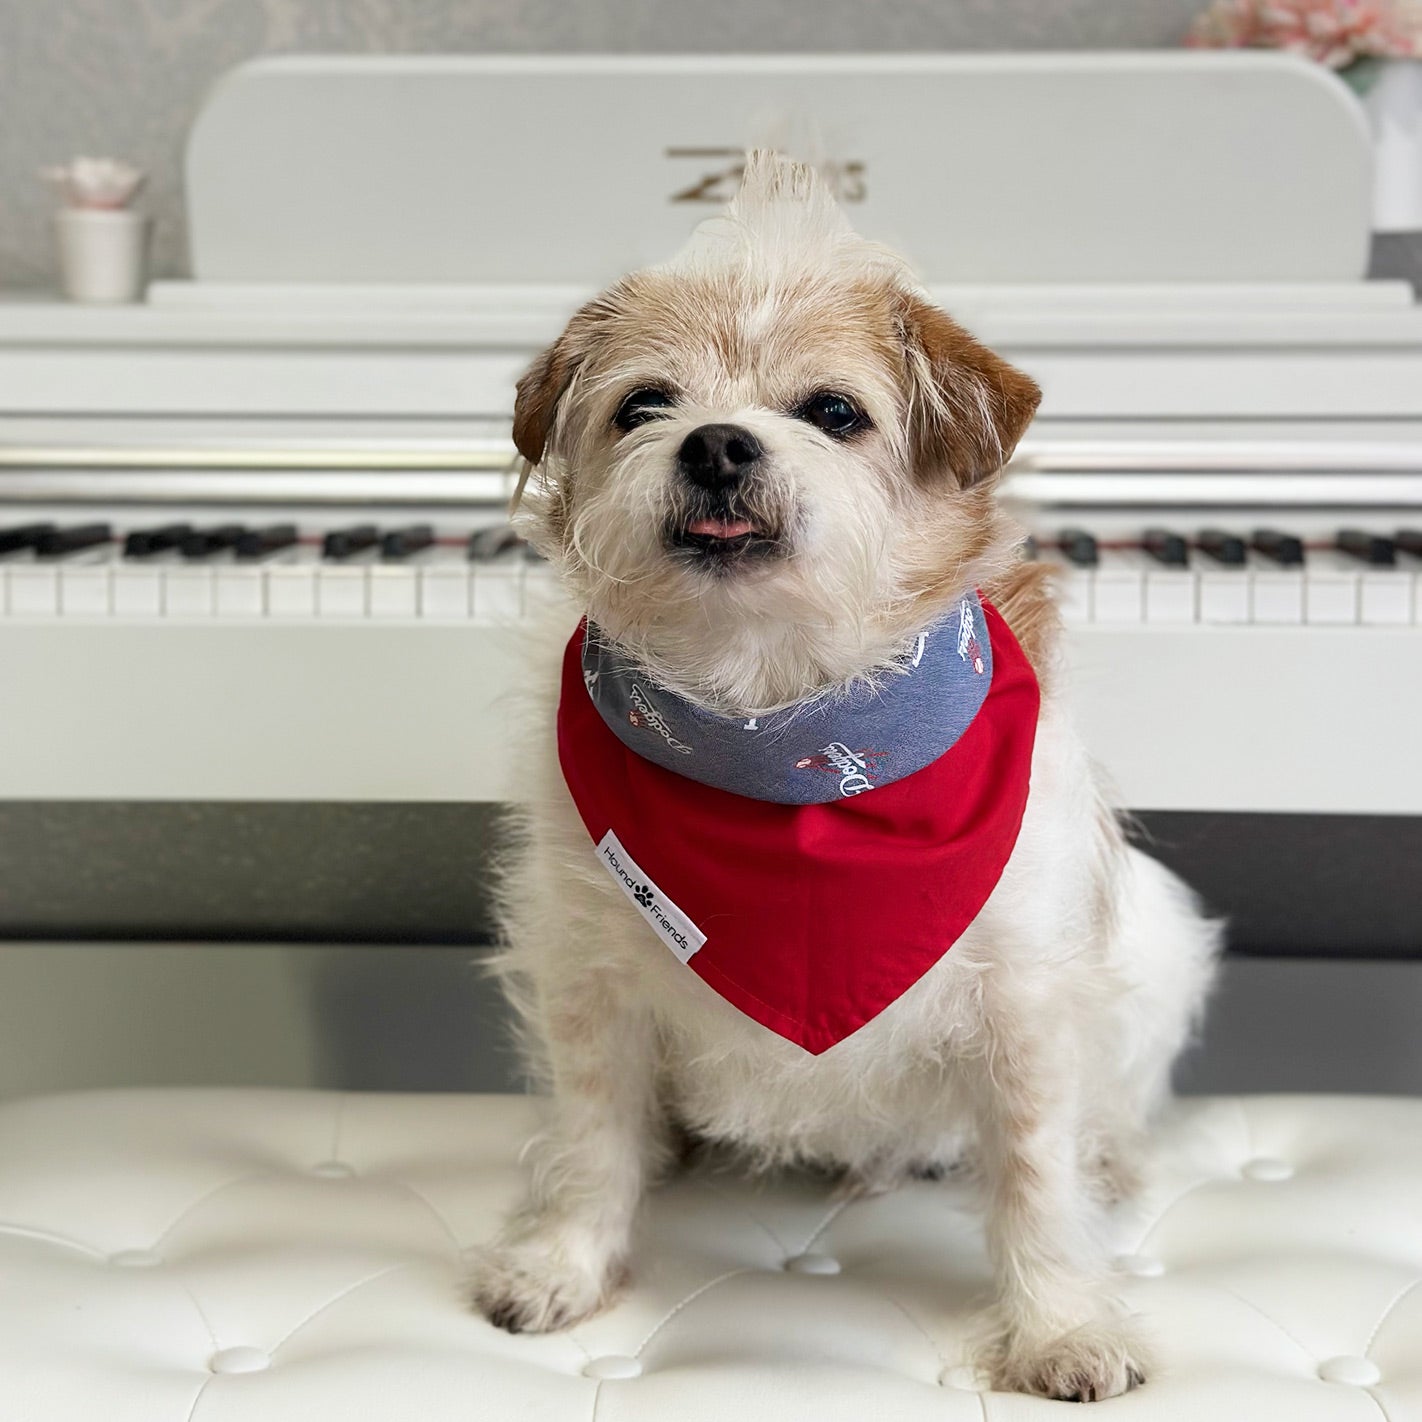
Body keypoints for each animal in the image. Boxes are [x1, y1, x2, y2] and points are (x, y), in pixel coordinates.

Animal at [477, 152, 1222, 1399]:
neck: (775, 724)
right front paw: (567, 1264)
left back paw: (1109, 1160)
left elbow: (1036, 1180)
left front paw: (1059, 1325)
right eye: (645, 405)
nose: (717, 444)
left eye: (833, 412)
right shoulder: (588, 975)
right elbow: (589, 1139)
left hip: (1158, 934)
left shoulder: (1024, 1004)